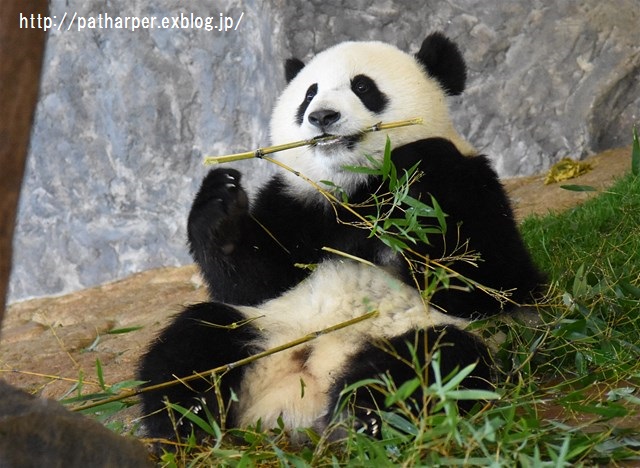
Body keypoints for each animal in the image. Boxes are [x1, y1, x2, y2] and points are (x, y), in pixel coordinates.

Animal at [138, 31, 544, 440]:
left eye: (363, 87)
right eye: (308, 94)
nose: (322, 117)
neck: (355, 186)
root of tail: (300, 396)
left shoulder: (472, 184)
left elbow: (488, 278)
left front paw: (413, 190)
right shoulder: (296, 203)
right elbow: (252, 282)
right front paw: (220, 205)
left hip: (424, 334)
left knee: (429, 362)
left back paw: (361, 416)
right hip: (266, 327)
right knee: (195, 342)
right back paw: (187, 421)